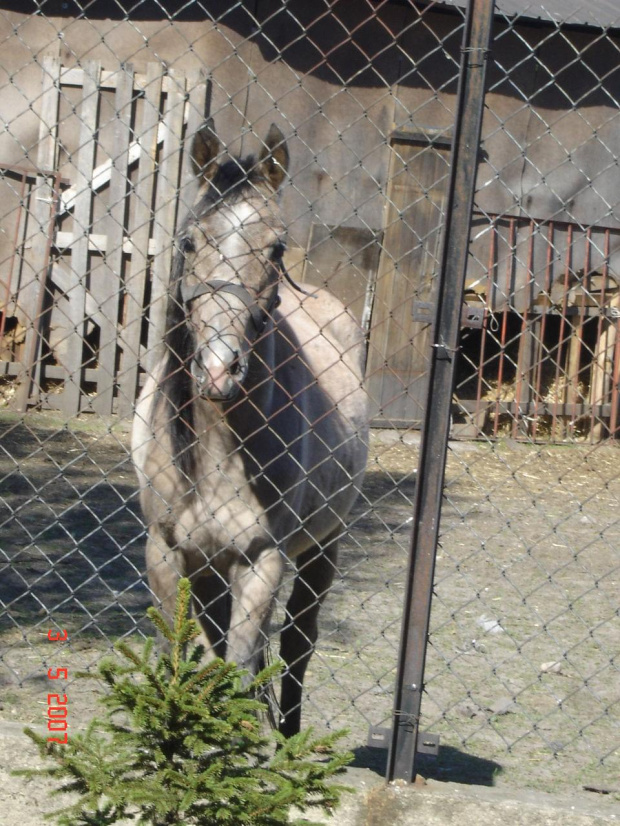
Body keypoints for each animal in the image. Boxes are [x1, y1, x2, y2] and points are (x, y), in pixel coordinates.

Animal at [128, 120, 366, 732]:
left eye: (276, 247)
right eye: (190, 242)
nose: (217, 369)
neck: (217, 448)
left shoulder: (263, 559)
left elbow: (240, 666)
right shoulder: (167, 551)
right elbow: (180, 660)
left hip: (322, 546)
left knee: (297, 645)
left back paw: (285, 739)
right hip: (212, 566)